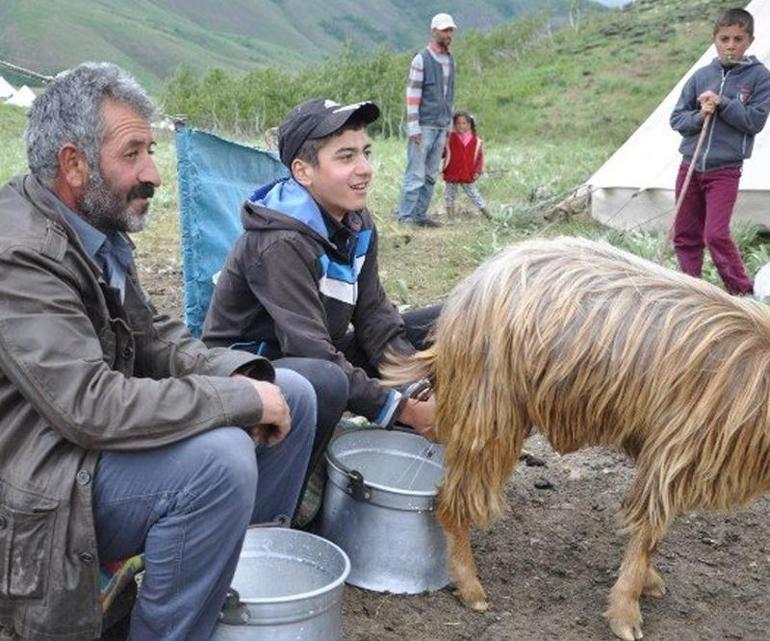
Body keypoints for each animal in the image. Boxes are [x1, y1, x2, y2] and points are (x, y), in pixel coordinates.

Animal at [384, 236, 770, 640]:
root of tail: (468, 292)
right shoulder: (674, 452)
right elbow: (649, 530)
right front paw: (626, 612)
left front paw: (646, 583)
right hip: (489, 415)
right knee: (451, 499)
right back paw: (471, 586)